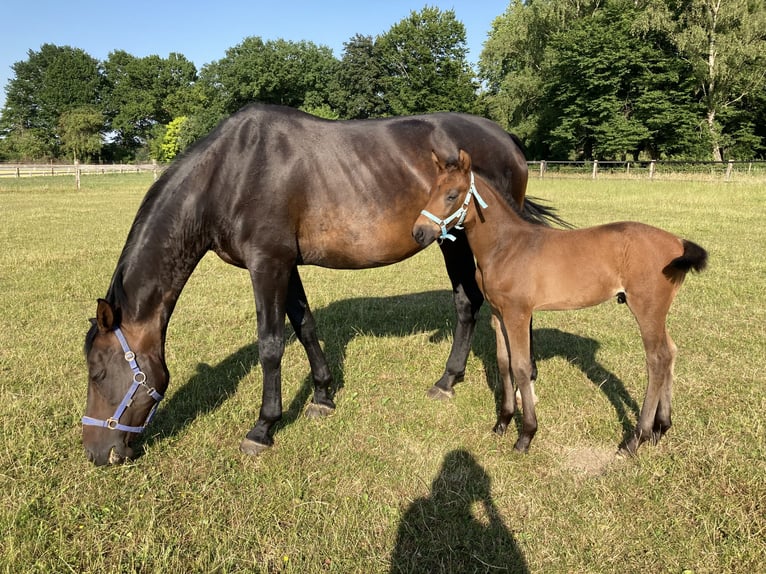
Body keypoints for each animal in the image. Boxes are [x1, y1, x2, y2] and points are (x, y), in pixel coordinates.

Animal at [84, 101, 556, 466]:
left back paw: (476, 377)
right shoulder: (285, 266)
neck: (229, 173)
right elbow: (305, 326)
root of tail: (507, 138)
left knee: (474, 302)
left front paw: (263, 427)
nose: (96, 453)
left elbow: (271, 345)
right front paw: (324, 396)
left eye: (97, 371)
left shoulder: (267, 264)